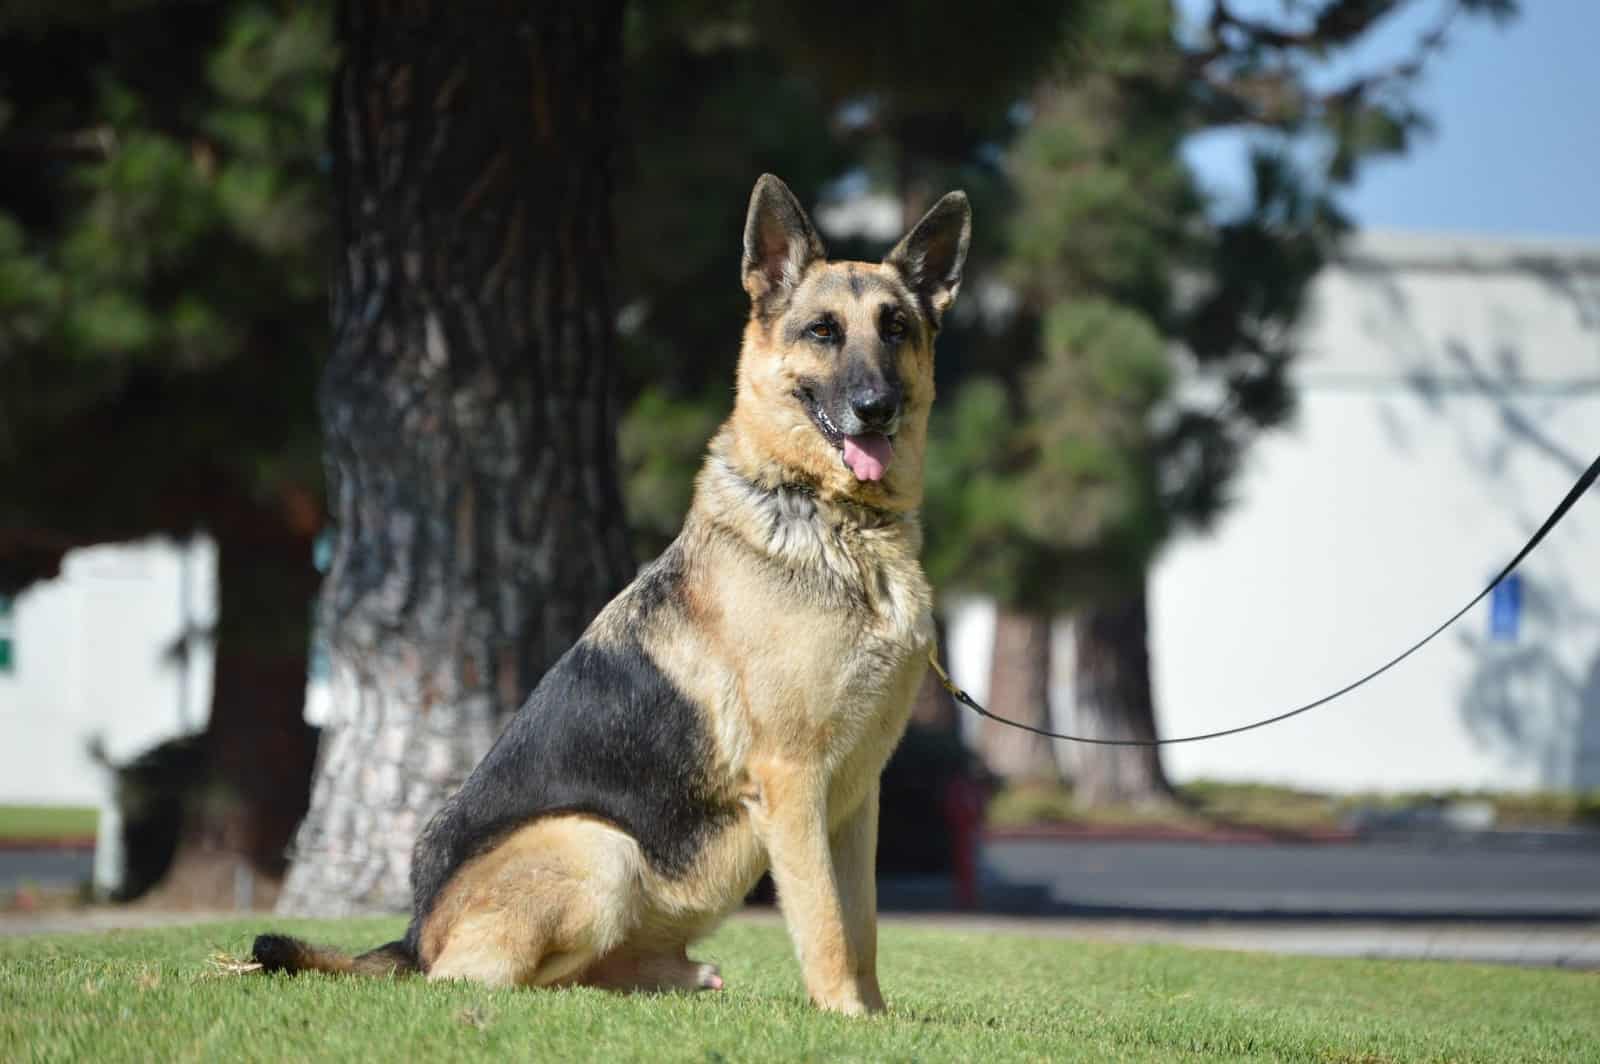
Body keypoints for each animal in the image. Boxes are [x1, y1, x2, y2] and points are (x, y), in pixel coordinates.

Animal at [256, 172, 966, 1011]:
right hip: (602, 849)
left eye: (896, 329)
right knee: (484, 979)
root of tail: (412, 935)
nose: (875, 407)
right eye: (823, 332)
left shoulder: (855, 798)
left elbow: (861, 928)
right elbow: (825, 923)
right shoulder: (794, 784)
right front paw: (846, 1019)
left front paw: (874, 1015)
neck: (841, 522)